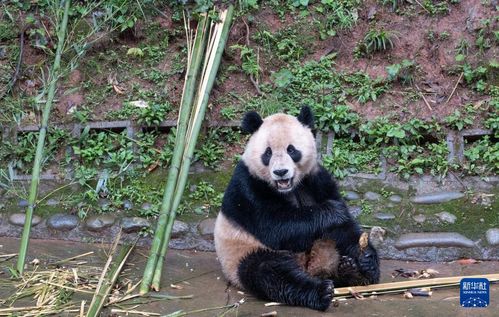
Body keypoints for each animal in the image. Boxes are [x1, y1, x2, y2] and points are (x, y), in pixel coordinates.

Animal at [213, 105, 380, 308]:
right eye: (267, 153)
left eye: (292, 150)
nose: (280, 172)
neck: (289, 188)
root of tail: (309, 269)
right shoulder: (247, 187)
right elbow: (276, 227)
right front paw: (334, 211)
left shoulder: (316, 178)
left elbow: (345, 229)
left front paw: (368, 261)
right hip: (243, 253)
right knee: (270, 272)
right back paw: (320, 291)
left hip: (325, 250)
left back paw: (352, 273)